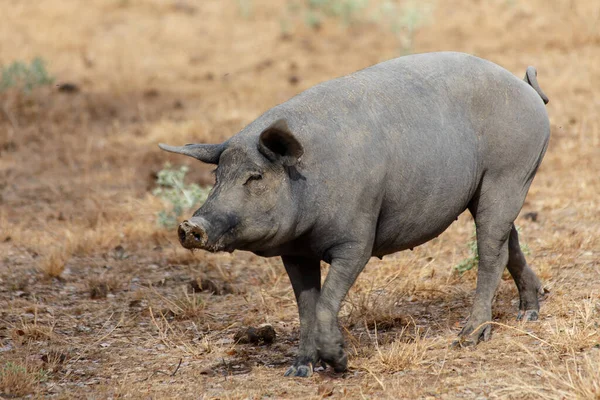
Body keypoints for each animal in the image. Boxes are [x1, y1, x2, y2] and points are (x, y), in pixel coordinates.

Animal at [158, 51, 548, 376]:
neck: (309, 181)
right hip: (488, 189)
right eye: (217, 176)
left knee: (491, 252)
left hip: (509, 173)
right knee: (508, 239)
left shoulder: (356, 240)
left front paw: (340, 364)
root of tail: (526, 89)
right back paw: (529, 311)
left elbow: (325, 302)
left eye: (255, 177)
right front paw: (298, 370)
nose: (190, 225)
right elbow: (306, 307)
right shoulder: (294, 253)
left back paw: (468, 338)